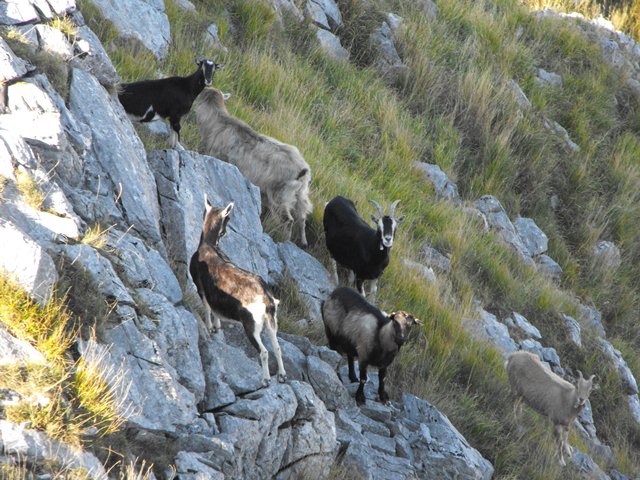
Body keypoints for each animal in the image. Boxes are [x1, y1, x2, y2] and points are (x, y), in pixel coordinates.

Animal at [194, 88, 312, 249]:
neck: (219, 123)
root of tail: (302, 171)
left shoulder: (216, 154)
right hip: (300, 194)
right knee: (302, 216)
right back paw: (303, 241)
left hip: (280, 195)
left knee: (288, 220)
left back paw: (283, 240)